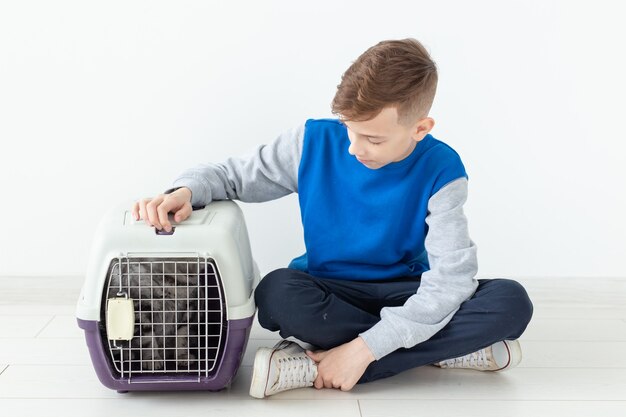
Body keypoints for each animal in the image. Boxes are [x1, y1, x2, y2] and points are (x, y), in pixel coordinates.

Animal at [76, 200, 258, 392]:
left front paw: (183, 356)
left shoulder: (189, 309)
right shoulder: (143, 310)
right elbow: (148, 339)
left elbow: (181, 336)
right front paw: (153, 360)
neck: (176, 280)